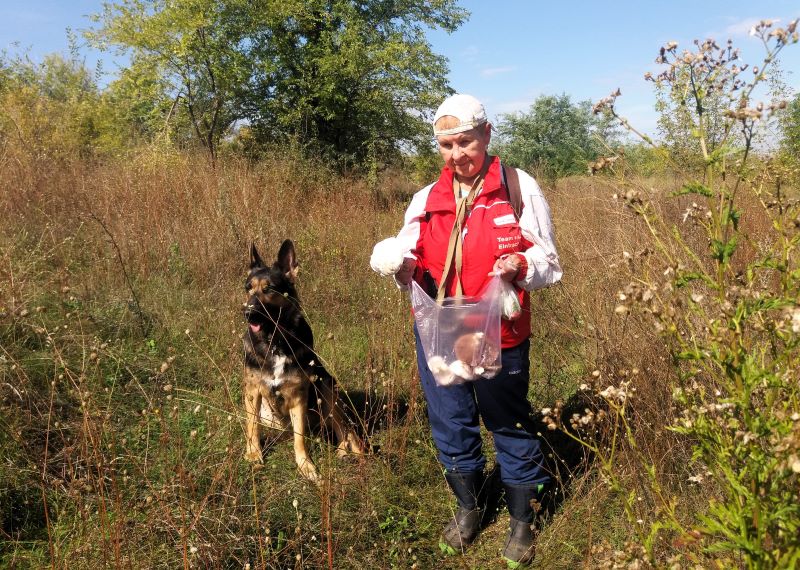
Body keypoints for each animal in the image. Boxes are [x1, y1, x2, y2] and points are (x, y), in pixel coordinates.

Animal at [239, 236, 360, 480]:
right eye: (248, 288)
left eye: (268, 289)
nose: (246, 313)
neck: (275, 342)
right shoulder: (253, 392)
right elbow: (252, 427)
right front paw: (254, 454)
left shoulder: (297, 396)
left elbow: (299, 438)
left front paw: (305, 465)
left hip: (326, 386)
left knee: (344, 429)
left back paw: (343, 452)